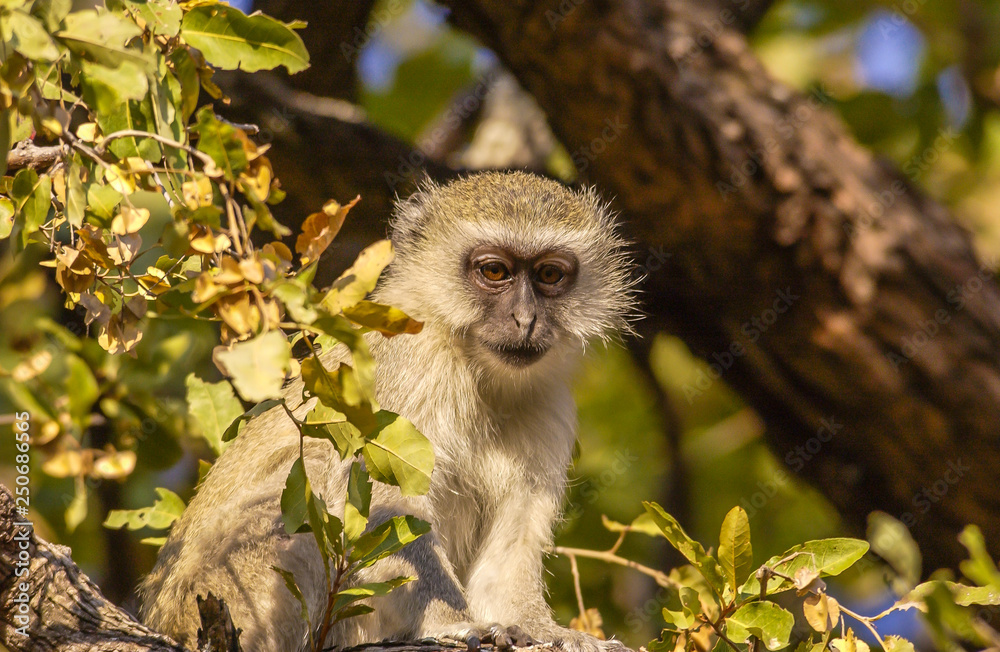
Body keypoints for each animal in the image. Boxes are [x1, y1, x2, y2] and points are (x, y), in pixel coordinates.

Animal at [140, 171, 637, 652]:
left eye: (549, 274)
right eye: (495, 270)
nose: (525, 320)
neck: (474, 367)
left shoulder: (549, 402)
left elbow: (515, 531)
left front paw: (542, 628)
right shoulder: (405, 368)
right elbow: (385, 502)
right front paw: (454, 622)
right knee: (308, 475)